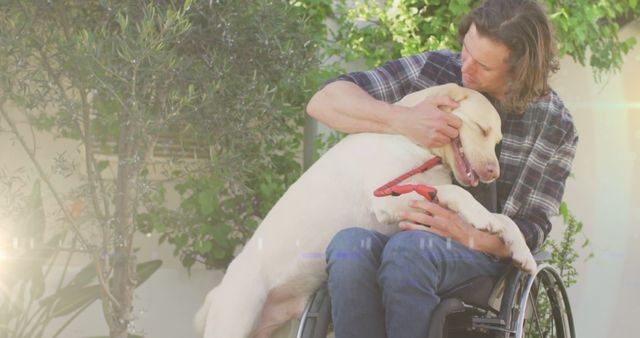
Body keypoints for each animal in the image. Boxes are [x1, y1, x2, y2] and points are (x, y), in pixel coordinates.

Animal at [194, 82, 536, 338]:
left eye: (498, 140)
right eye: (481, 129)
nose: (493, 173)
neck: (417, 145)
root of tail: (217, 292)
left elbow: (503, 219)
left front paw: (521, 250)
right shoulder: (387, 198)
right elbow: (456, 192)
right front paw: (481, 216)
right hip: (236, 321)